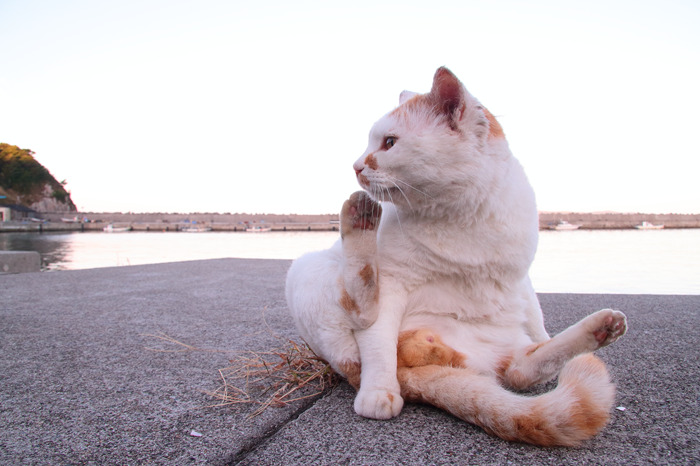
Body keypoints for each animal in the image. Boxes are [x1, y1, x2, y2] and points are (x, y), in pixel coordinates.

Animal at [286, 67, 628, 446]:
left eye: (389, 143)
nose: (356, 166)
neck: (460, 216)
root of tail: (415, 373)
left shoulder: (522, 280)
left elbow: (537, 322)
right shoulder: (392, 281)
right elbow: (377, 346)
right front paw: (378, 393)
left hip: (499, 343)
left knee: (520, 369)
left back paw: (603, 327)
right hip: (307, 272)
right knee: (363, 315)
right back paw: (359, 218)